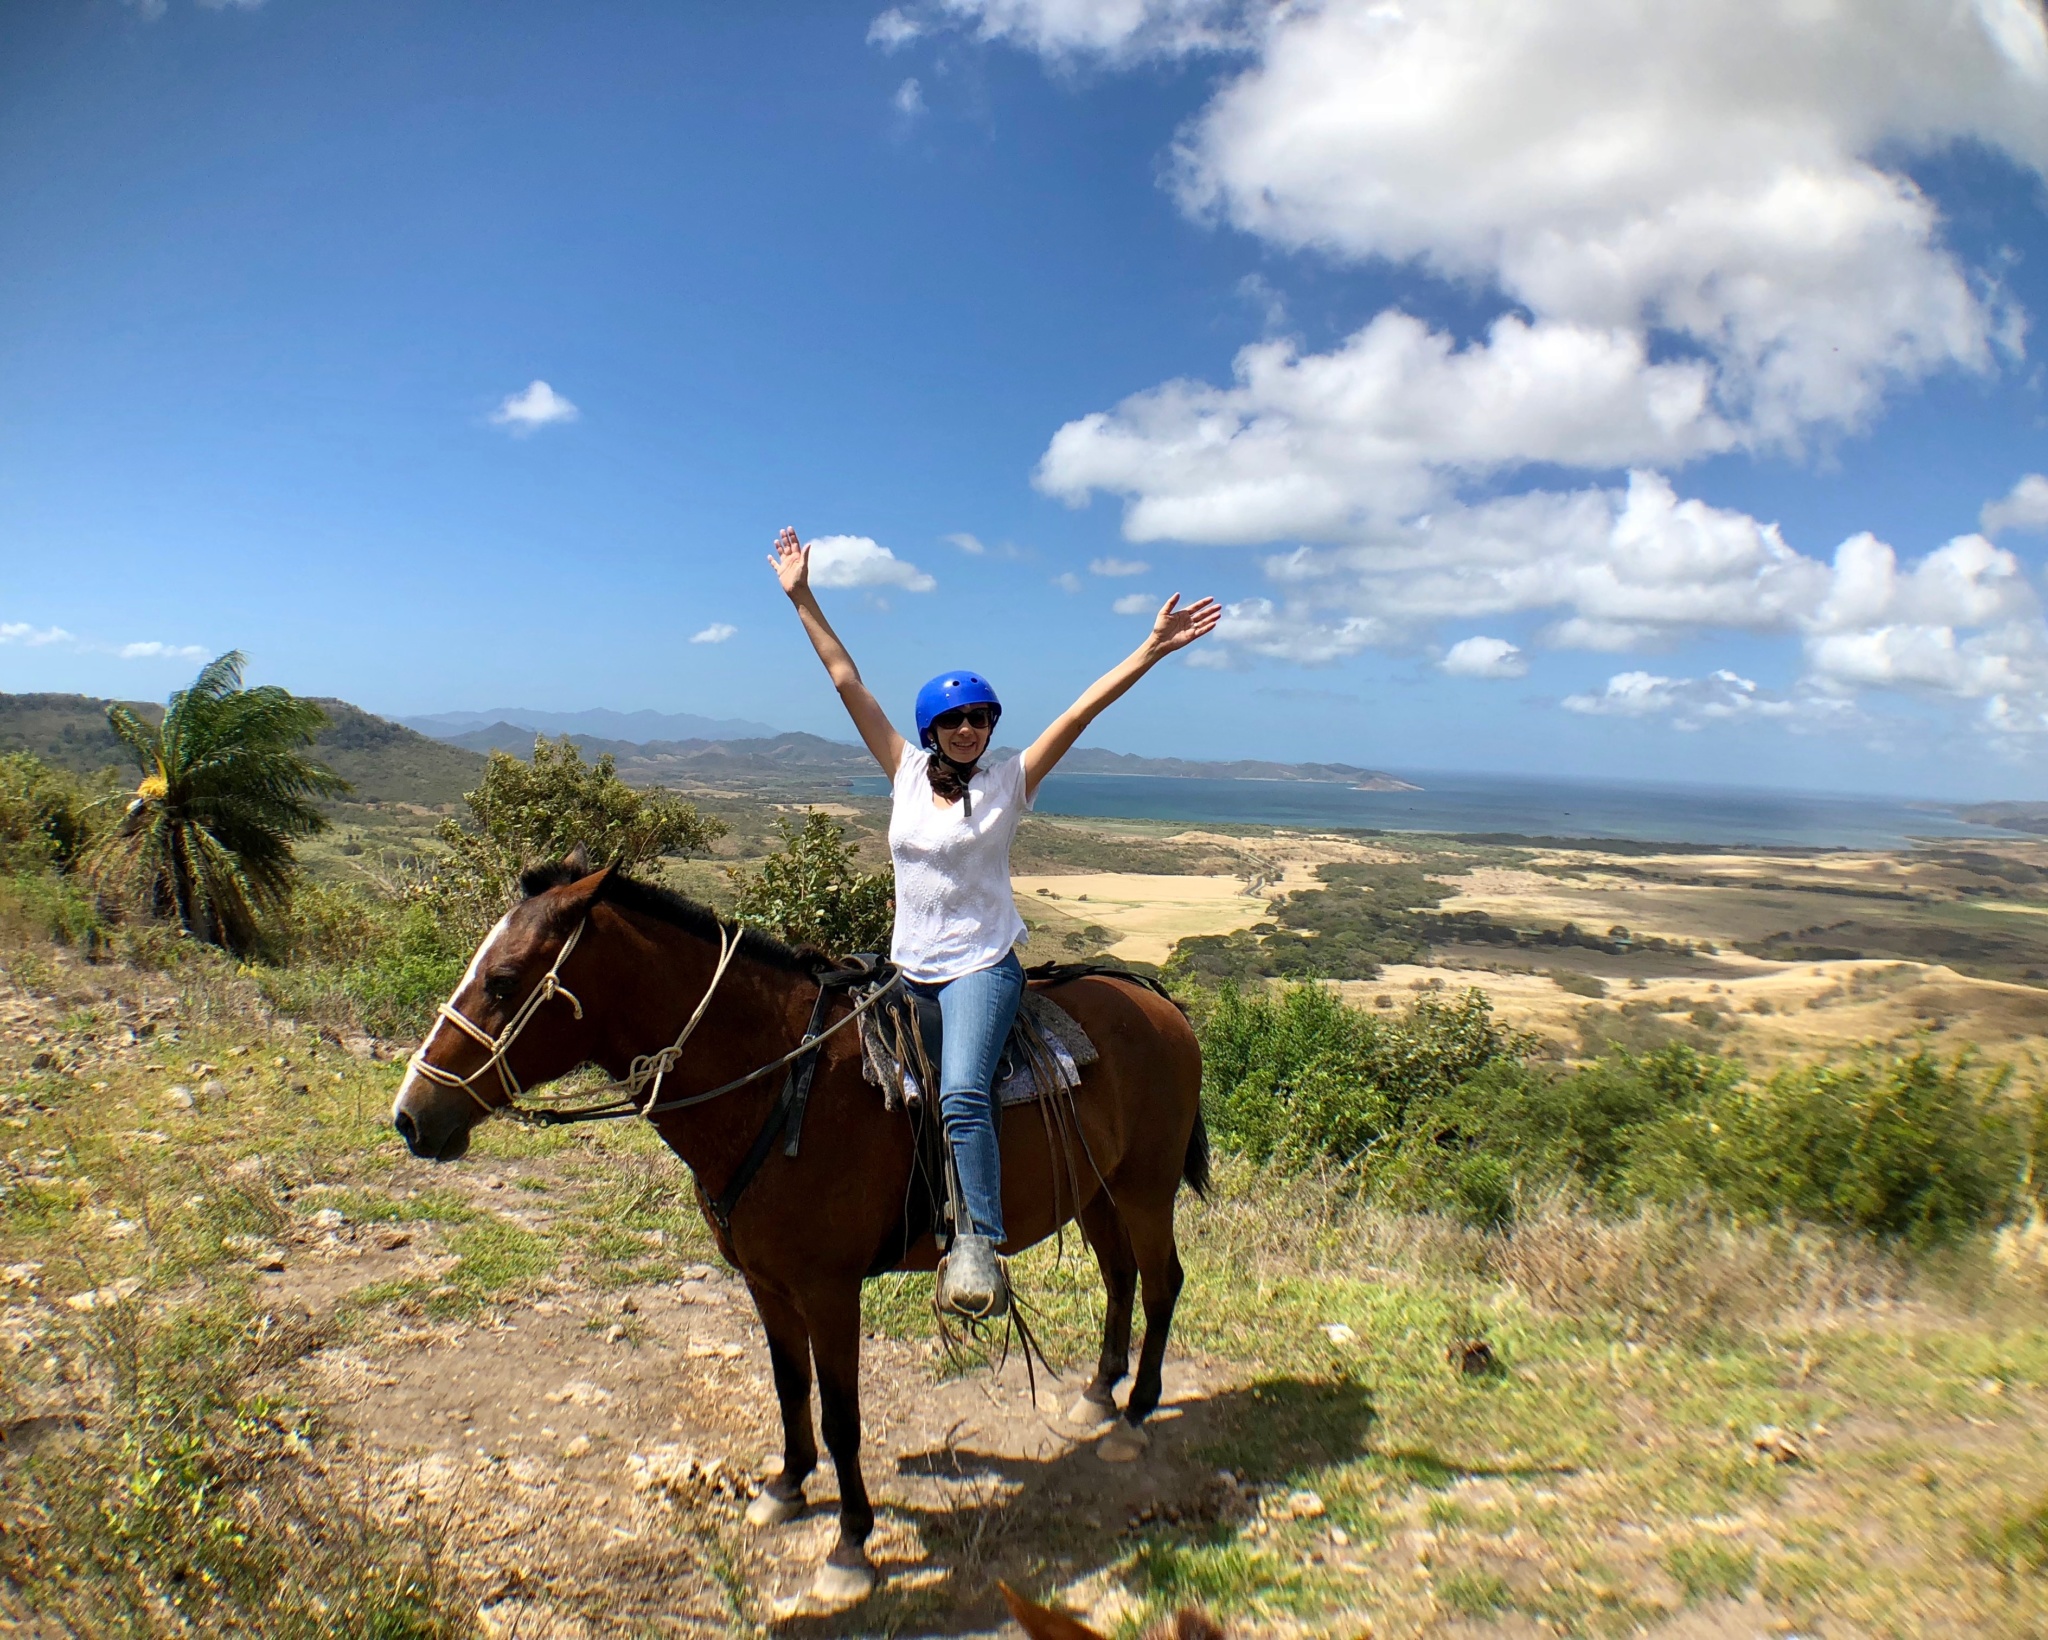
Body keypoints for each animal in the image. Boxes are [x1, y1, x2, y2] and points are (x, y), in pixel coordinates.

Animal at [391, 855, 1204, 1597]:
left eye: (503, 981)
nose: (411, 1117)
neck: (780, 1082)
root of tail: (1154, 1000)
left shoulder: (828, 1289)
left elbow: (843, 1413)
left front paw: (851, 1544)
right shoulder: (766, 1281)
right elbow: (789, 1385)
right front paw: (786, 1487)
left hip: (1145, 1188)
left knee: (1161, 1282)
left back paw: (1135, 1412)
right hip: (1097, 1192)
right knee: (1120, 1276)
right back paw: (1099, 1392)